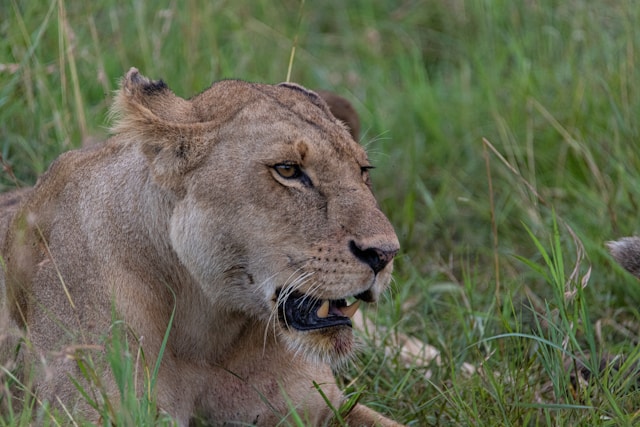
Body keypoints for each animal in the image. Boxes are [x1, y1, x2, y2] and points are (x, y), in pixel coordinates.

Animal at [0, 68, 403, 426]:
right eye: (288, 170)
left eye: (363, 171)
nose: (385, 254)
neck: (210, 328)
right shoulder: (83, 413)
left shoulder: (326, 406)